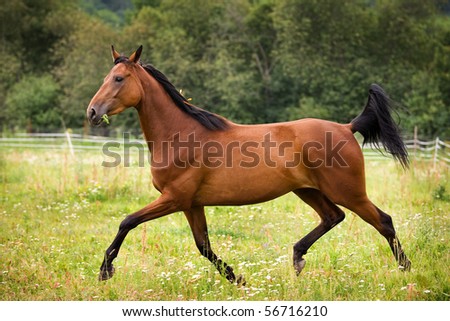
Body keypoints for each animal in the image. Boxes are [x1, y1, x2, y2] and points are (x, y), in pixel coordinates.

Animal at [85, 45, 412, 282]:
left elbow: (127, 221)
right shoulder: (191, 203)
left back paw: (406, 269)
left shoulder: (174, 198)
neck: (181, 134)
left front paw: (105, 271)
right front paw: (236, 278)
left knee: (383, 221)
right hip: (308, 190)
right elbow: (204, 246)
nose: (92, 112)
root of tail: (347, 127)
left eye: (119, 78)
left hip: (348, 192)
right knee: (333, 217)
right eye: (105, 78)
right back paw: (297, 258)